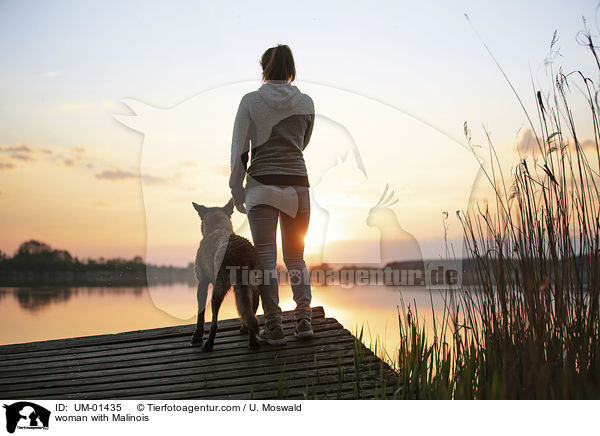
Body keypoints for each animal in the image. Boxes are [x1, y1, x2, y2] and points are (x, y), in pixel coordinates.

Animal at [190, 198, 260, 350]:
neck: (217, 227)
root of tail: (241, 251)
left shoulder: (202, 284)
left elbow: (200, 316)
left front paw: (197, 336)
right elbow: (243, 310)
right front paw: (243, 327)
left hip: (218, 289)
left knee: (214, 322)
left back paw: (208, 344)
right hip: (253, 288)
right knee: (252, 313)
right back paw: (253, 342)